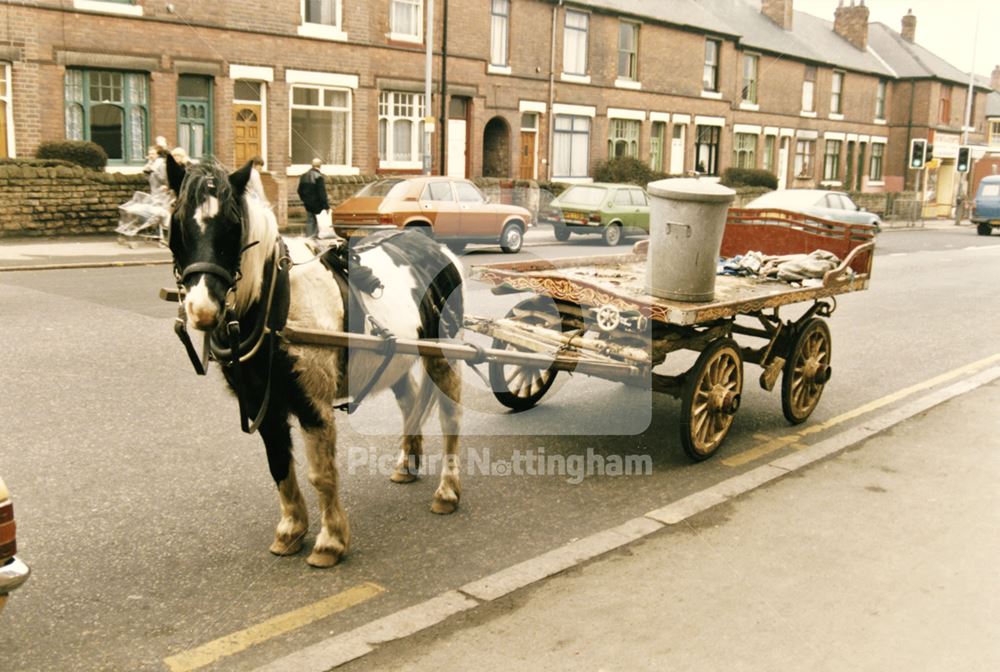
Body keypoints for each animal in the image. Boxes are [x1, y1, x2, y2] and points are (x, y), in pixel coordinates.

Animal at [166, 158, 466, 568]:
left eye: (231, 225)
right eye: (177, 224)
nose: (203, 311)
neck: (275, 302)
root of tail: (441, 251)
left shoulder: (312, 403)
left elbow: (321, 474)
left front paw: (330, 541)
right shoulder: (263, 406)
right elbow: (279, 465)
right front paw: (291, 530)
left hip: (442, 353)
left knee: (450, 413)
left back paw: (447, 491)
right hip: (396, 358)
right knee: (410, 401)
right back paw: (407, 463)